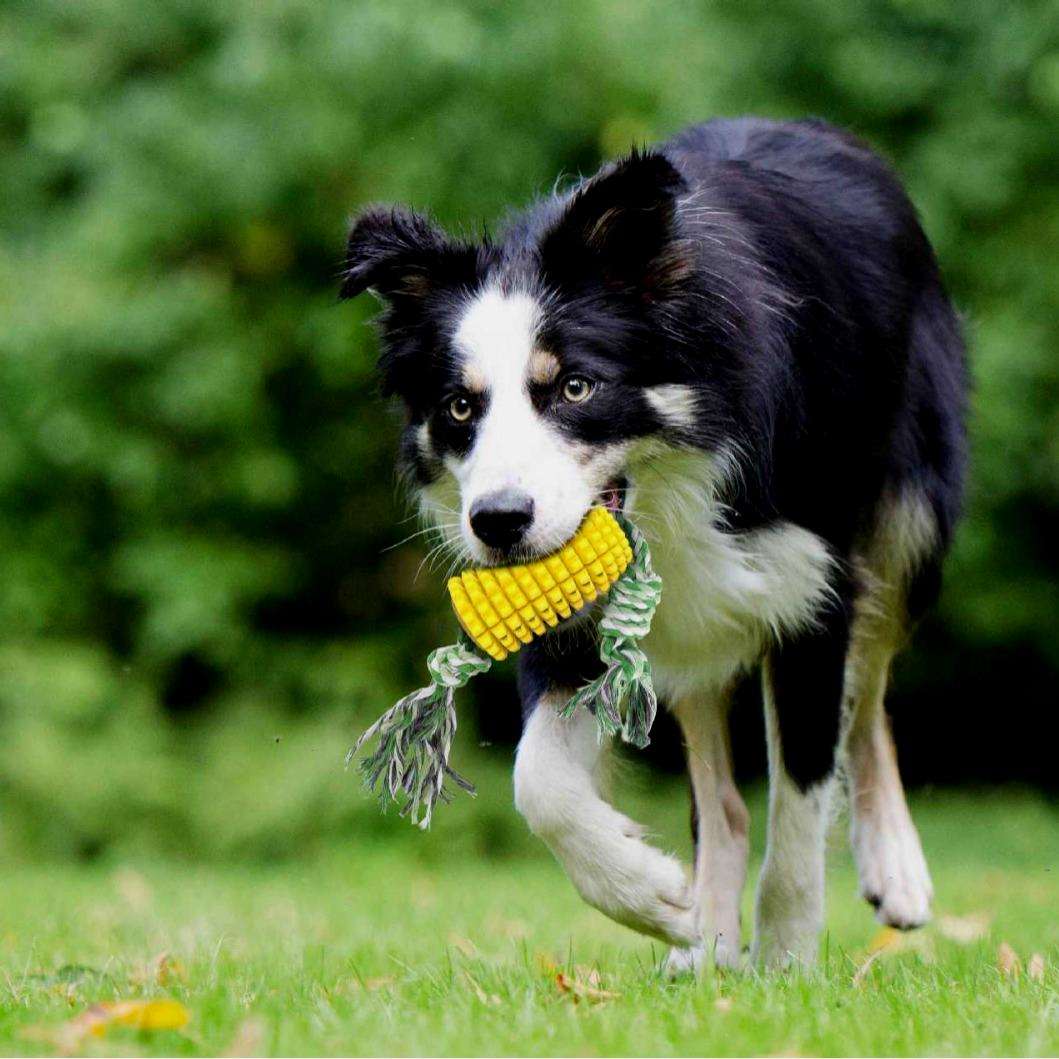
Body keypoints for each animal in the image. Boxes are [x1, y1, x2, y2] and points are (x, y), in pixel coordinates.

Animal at [340, 115, 970, 970]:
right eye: (459, 407)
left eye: (575, 387)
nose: (498, 523)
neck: (671, 485)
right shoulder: (569, 616)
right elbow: (538, 781)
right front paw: (650, 897)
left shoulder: (815, 588)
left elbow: (801, 803)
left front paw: (787, 962)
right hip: (689, 627)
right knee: (723, 794)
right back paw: (704, 939)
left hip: (907, 519)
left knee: (867, 694)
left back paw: (892, 869)